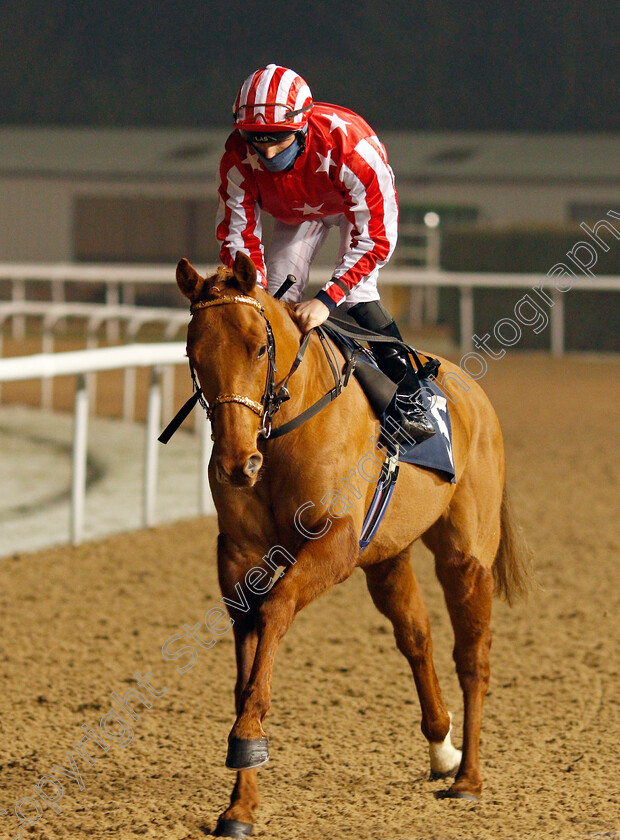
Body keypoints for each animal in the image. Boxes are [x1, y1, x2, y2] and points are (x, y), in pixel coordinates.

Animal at [177, 253, 532, 836]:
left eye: (258, 346)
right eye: (194, 351)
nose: (236, 463)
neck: (283, 433)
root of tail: (472, 394)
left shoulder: (335, 543)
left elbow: (275, 613)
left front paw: (248, 741)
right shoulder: (239, 558)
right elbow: (246, 668)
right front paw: (239, 804)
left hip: (466, 556)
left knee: (472, 656)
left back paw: (469, 778)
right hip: (387, 558)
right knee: (416, 635)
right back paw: (443, 750)